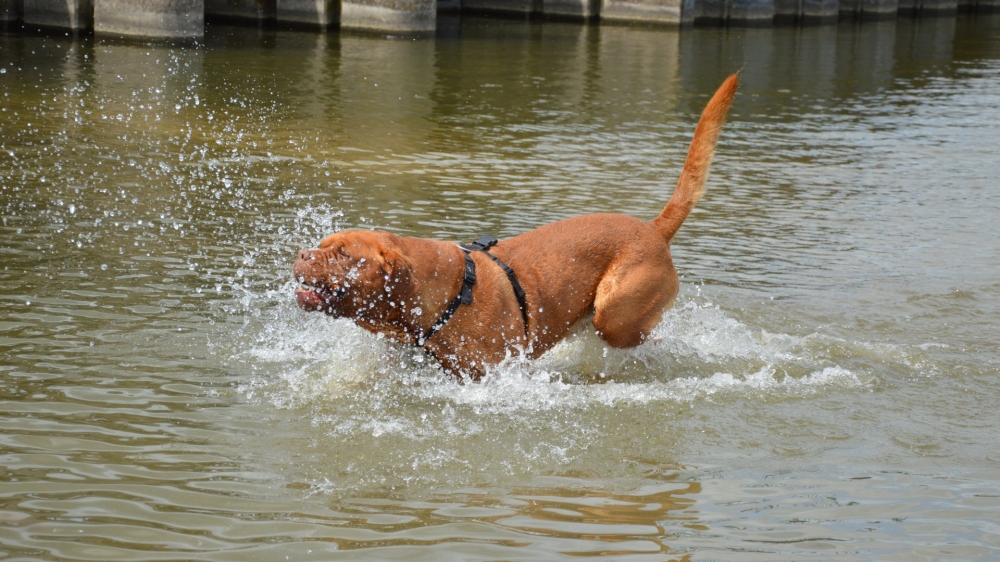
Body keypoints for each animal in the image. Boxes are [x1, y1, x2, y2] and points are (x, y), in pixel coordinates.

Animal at [292, 74, 740, 378]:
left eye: (343, 254)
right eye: (322, 244)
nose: (300, 254)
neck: (441, 298)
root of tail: (653, 228)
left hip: (615, 316)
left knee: (648, 340)